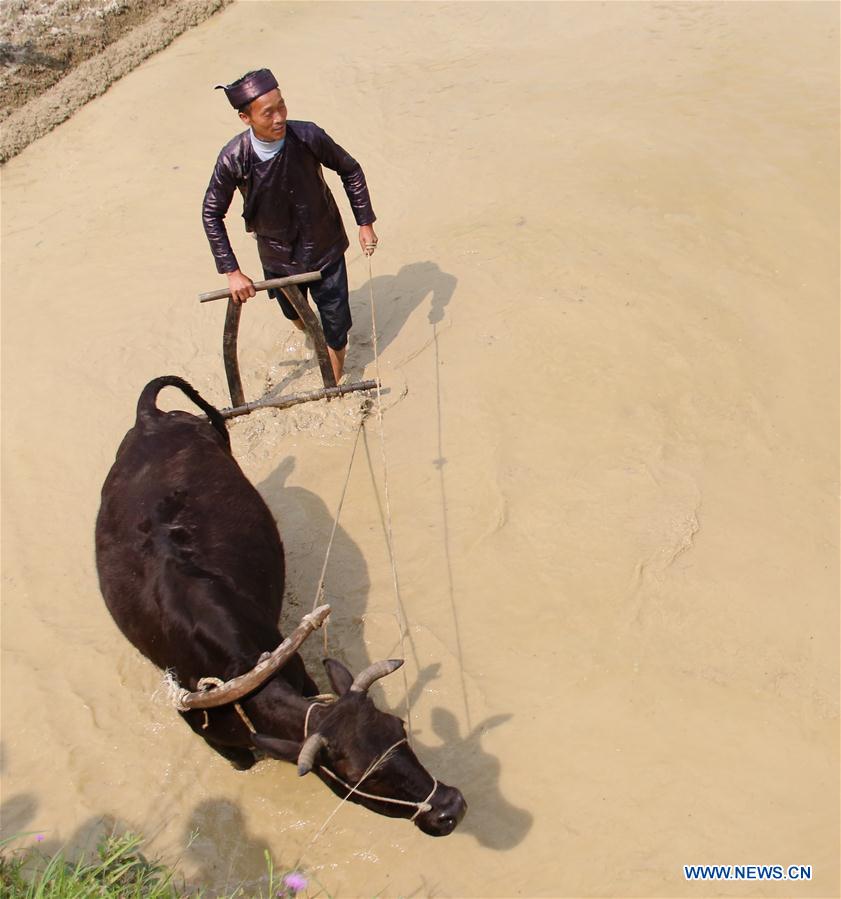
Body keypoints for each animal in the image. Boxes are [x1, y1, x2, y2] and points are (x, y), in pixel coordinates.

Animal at [97, 374, 466, 836]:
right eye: (363, 775)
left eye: (399, 728)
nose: (452, 807)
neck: (230, 672)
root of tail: (149, 418)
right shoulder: (224, 749)